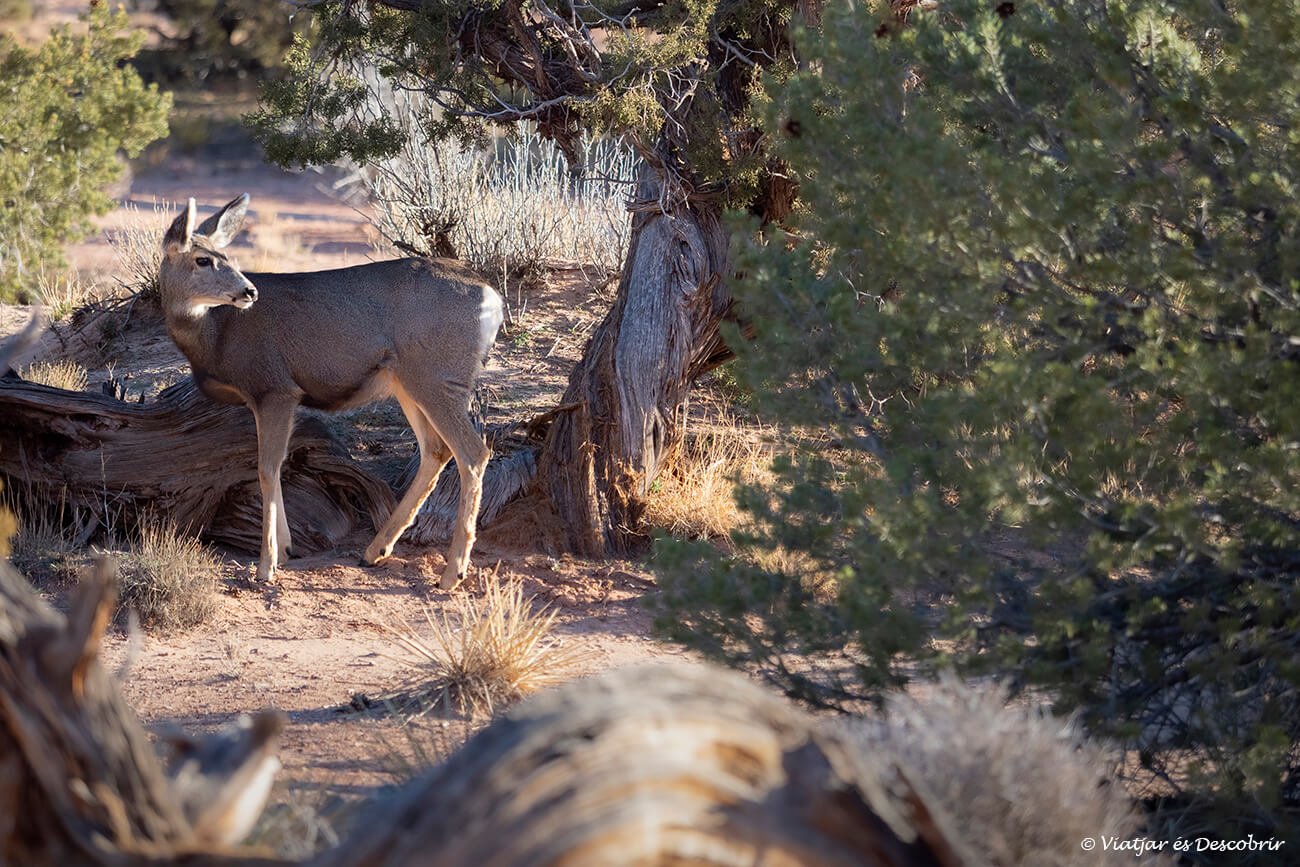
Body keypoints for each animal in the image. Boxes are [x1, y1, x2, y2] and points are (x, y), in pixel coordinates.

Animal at [158, 194, 503, 589]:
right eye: (204, 259)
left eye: (227, 257)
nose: (249, 291)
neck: (215, 335)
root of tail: (493, 298)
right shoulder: (269, 396)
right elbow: (276, 465)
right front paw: (286, 549)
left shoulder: (274, 387)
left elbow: (266, 467)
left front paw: (266, 566)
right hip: (408, 382)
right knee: (436, 450)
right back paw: (376, 551)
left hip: (438, 375)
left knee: (473, 453)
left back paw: (451, 573)